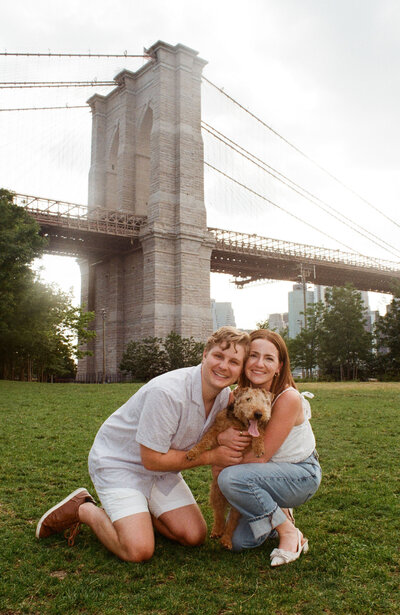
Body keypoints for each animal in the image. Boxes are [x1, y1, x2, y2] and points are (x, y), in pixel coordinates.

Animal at [187, 388, 274, 552]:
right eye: (248, 399)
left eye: (265, 401)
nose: (258, 414)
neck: (240, 423)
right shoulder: (216, 430)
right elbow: (205, 441)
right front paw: (192, 453)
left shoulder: (257, 431)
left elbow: (259, 434)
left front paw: (259, 448)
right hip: (215, 494)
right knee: (219, 515)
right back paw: (216, 531)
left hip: (237, 506)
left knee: (231, 523)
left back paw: (226, 541)